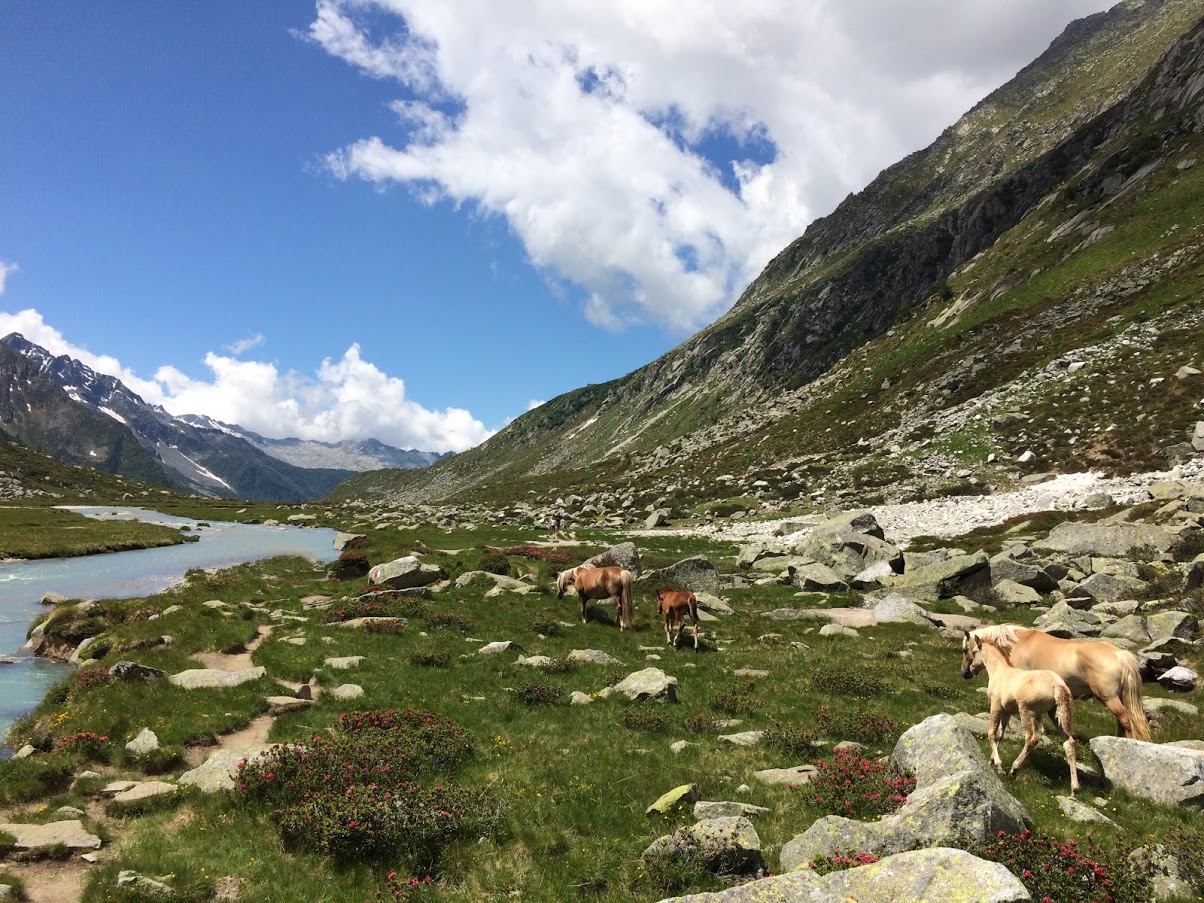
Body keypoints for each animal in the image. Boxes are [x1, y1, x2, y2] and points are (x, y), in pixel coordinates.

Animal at [963, 630, 1078, 794]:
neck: (1000, 671)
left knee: (1032, 738)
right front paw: (992, 761)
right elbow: (1000, 735)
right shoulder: (1007, 711)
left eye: (973, 651)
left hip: (1026, 711)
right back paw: (1074, 788)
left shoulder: (996, 706)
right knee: (1069, 743)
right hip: (1055, 715)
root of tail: (1058, 685)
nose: (969, 671)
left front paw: (999, 765)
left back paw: (1014, 768)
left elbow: (991, 733)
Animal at [968, 626, 1146, 746]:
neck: (1019, 643)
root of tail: (1119, 654)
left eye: (967, 650)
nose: (966, 673)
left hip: (1110, 698)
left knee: (1125, 720)